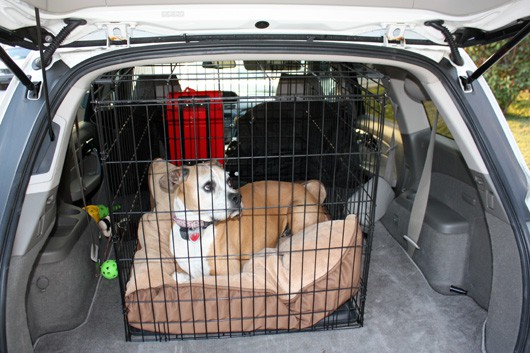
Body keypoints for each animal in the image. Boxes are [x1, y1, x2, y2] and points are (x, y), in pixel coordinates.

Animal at [157, 160, 328, 280]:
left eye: (229, 181)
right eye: (208, 186)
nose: (237, 197)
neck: (196, 228)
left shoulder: (228, 273)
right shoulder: (182, 270)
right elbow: (178, 276)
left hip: (297, 207)